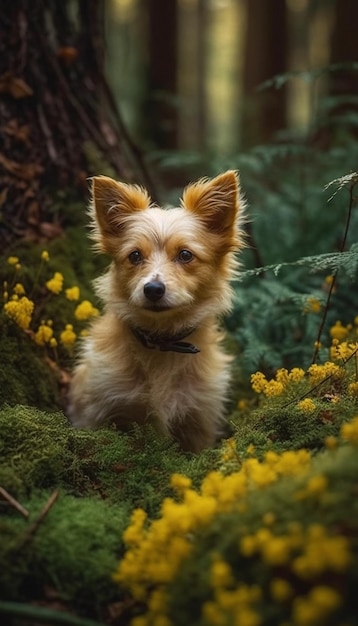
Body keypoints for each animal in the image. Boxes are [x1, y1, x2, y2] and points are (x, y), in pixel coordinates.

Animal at [67, 171, 245, 450]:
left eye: (185, 255)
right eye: (134, 255)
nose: (153, 289)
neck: (162, 344)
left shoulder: (199, 421)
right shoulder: (97, 409)